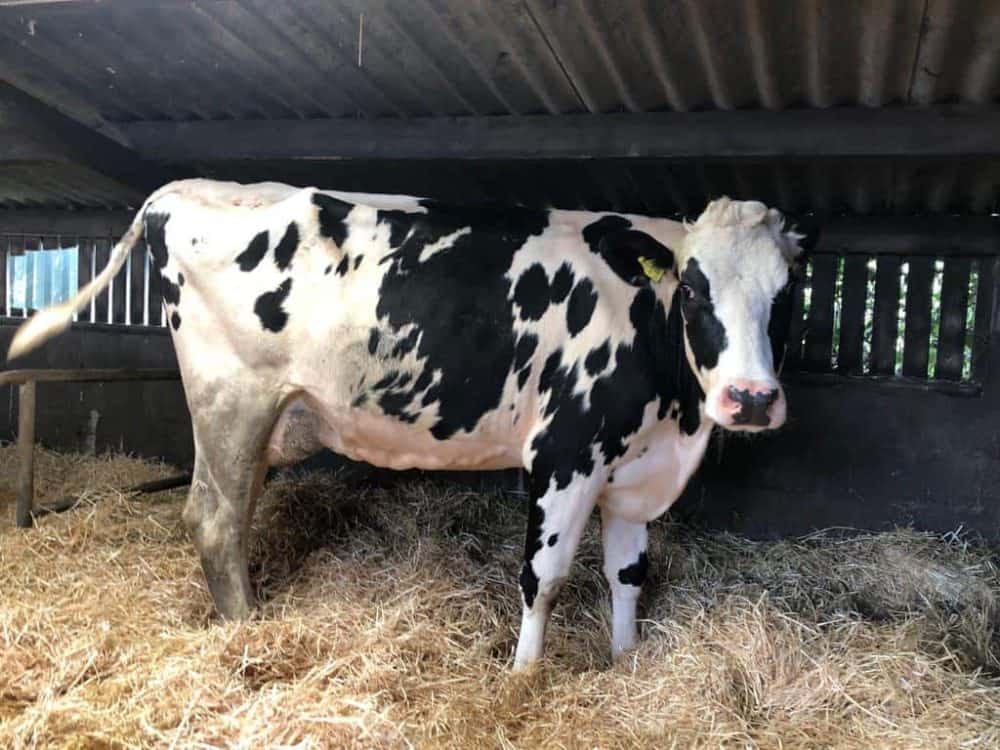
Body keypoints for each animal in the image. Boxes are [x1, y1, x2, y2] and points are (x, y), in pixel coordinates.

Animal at [7, 179, 813, 669]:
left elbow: (628, 574)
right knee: (213, 516)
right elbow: (545, 576)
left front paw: (624, 662)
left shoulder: (637, 466)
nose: (750, 398)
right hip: (230, 398)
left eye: (786, 295)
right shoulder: (566, 452)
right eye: (695, 289)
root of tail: (184, 191)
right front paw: (524, 678)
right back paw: (246, 628)